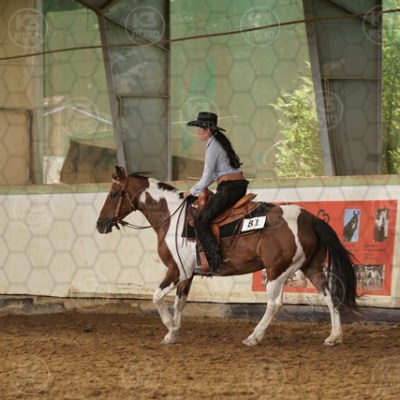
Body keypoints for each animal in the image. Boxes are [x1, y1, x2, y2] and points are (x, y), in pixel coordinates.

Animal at [96, 166, 358, 347]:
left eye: (113, 194)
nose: (100, 224)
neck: (172, 217)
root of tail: (309, 218)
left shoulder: (177, 270)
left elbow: (157, 297)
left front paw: (170, 327)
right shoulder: (188, 274)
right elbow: (179, 302)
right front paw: (173, 332)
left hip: (277, 271)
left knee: (274, 303)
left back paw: (254, 337)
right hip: (311, 268)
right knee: (330, 297)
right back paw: (334, 337)